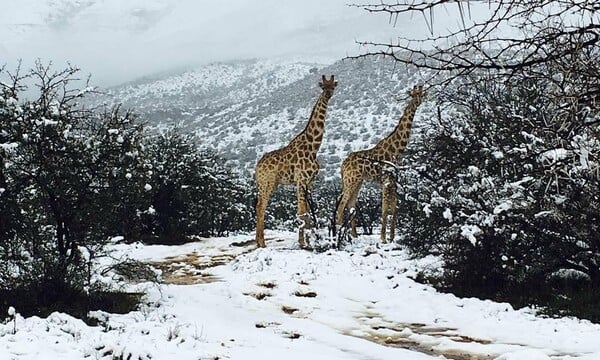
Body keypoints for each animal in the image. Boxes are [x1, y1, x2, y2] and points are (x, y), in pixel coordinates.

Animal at [253, 74, 338, 248]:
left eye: (333, 86)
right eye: (323, 86)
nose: (328, 94)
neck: (313, 147)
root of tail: (257, 167)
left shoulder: (309, 182)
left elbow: (307, 212)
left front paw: (309, 242)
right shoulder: (301, 180)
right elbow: (301, 212)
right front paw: (303, 243)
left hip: (268, 184)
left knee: (259, 206)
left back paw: (258, 241)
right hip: (267, 183)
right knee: (260, 207)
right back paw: (261, 243)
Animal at [336, 85, 424, 242]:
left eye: (421, 92)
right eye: (413, 94)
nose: (418, 101)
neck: (397, 149)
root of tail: (342, 166)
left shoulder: (394, 179)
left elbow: (394, 208)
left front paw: (392, 237)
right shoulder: (386, 179)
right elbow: (384, 208)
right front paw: (383, 238)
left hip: (358, 181)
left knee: (351, 205)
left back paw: (354, 235)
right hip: (350, 180)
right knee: (341, 205)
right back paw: (339, 234)